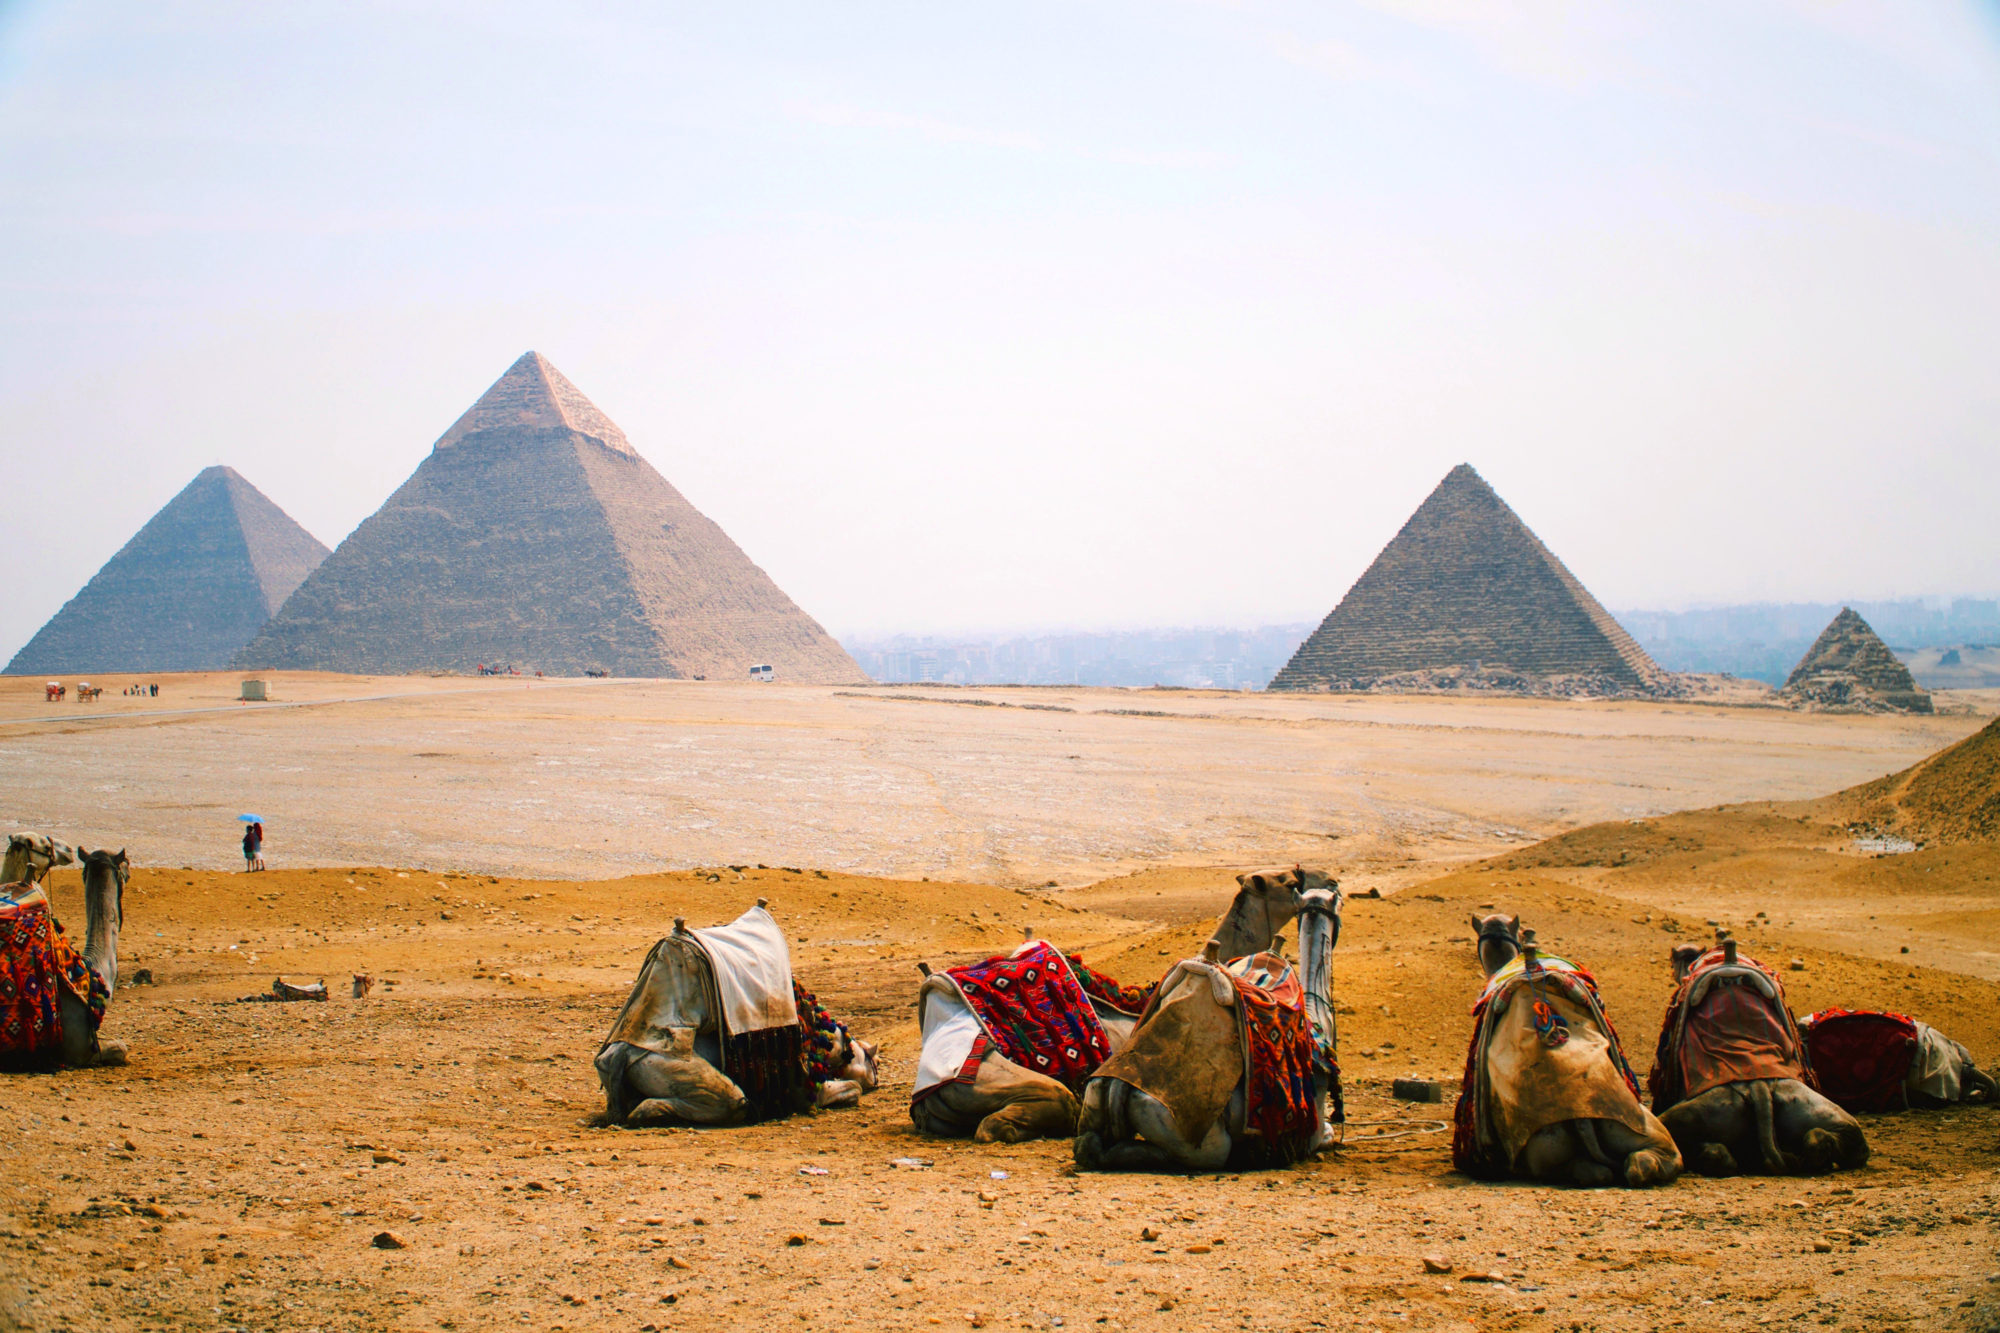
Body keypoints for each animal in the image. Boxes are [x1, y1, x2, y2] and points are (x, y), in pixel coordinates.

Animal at [592, 896, 876, 1128]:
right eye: (872, 1060)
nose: (876, 1079)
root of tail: (622, 1054)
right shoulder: (806, 1089)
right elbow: (851, 1088)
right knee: (730, 1102)